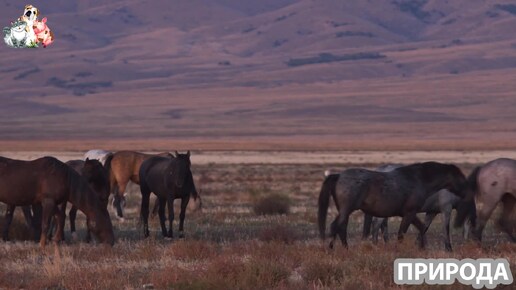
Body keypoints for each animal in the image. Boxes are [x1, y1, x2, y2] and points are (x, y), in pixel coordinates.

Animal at [318, 162, 468, 250]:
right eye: (459, 176)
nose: (467, 191)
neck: (419, 179)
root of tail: (338, 175)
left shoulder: (411, 213)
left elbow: (421, 228)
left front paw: (422, 247)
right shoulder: (411, 213)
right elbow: (402, 234)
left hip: (344, 211)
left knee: (341, 228)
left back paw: (346, 249)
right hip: (347, 209)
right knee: (336, 226)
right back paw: (332, 249)